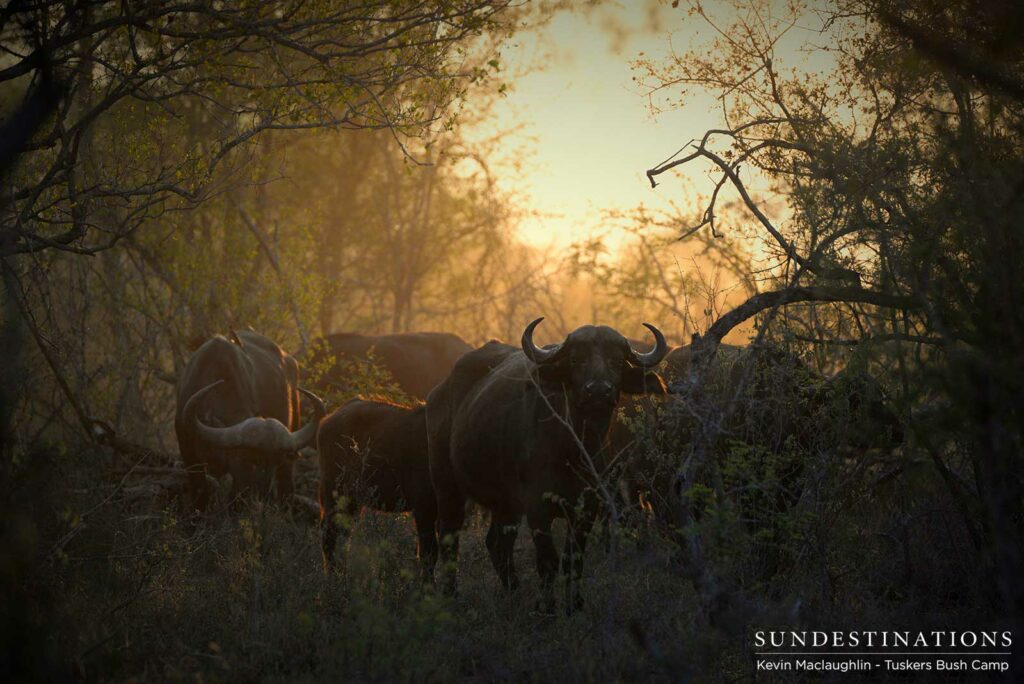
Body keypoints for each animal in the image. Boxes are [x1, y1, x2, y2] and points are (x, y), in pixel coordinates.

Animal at [175, 330, 325, 509]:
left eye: (274, 462)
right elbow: (200, 490)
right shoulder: (188, 452)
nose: (263, 493)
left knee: (287, 482)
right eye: (253, 460)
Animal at [318, 399, 436, 579]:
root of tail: (328, 419)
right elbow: (428, 554)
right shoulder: (423, 506)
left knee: (344, 534)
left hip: (353, 501)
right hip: (335, 493)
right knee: (330, 536)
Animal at [426, 318, 668, 611]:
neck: (574, 447)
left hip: (506, 503)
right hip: (446, 486)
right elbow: (548, 561)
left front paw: (574, 605)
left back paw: (513, 591)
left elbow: (573, 560)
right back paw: (452, 596)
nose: (599, 391)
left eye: (617, 361)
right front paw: (548, 608)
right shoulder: (536, 506)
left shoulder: (588, 506)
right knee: (449, 538)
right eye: (576, 359)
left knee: (497, 543)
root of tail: (438, 393)